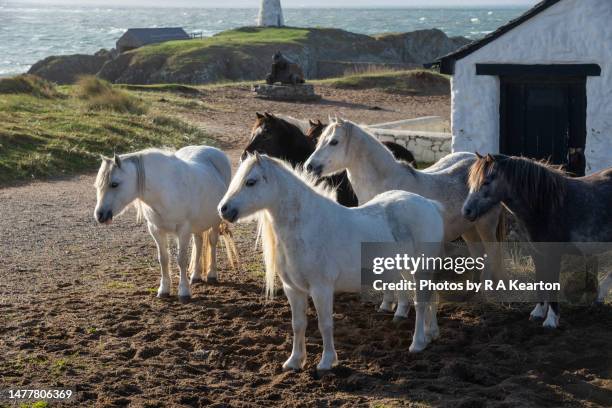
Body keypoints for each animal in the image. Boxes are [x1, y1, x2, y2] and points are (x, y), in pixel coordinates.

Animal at [94, 147, 238, 300]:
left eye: (114, 184)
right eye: (98, 185)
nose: (100, 215)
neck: (164, 191)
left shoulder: (183, 230)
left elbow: (181, 259)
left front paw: (183, 291)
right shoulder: (156, 230)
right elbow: (163, 259)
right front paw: (164, 290)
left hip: (215, 221)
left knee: (212, 242)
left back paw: (211, 275)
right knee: (198, 243)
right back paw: (196, 276)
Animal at [219, 155, 444, 372]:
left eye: (250, 182)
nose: (223, 209)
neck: (306, 226)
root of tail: (430, 205)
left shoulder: (321, 289)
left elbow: (325, 324)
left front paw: (327, 362)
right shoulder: (293, 289)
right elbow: (298, 324)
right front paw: (294, 361)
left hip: (420, 270)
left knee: (421, 303)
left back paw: (417, 343)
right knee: (430, 299)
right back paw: (431, 334)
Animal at [304, 119, 502, 288]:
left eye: (334, 142)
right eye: (318, 140)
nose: (309, 166)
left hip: (486, 225)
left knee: (492, 253)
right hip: (468, 227)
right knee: (478, 253)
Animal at [464, 155, 612, 326]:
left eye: (486, 182)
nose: (466, 211)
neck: (545, 205)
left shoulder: (554, 254)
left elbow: (552, 283)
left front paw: (551, 320)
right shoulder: (537, 252)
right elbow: (541, 280)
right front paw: (538, 312)